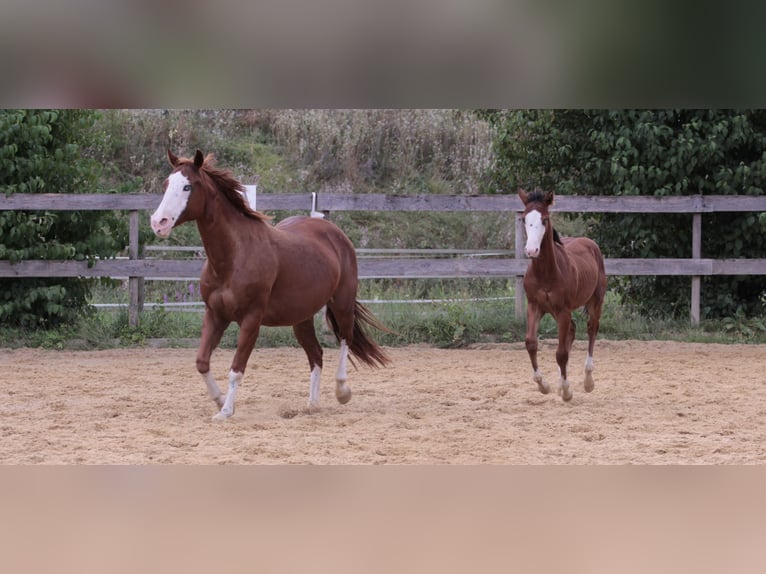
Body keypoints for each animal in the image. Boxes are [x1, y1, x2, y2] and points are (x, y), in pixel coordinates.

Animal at [150, 149, 390, 421]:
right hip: (301, 318)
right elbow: (202, 362)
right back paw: (312, 403)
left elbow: (236, 368)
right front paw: (220, 401)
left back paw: (342, 392)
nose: (159, 222)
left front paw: (226, 411)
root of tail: (334, 232)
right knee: (316, 354)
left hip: (342, 303)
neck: (233, 257)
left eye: (188, 186)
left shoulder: (251, 319)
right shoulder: (215, 315)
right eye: (166, 184)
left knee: (345, 339)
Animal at [518, 189, 607, 402]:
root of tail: (589, 242)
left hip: (595, 301)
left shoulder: (563, 310)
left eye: (544, 219)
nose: (531, 250)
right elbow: (531, 343)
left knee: (592, 329)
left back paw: (587, 381)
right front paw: (544, 386)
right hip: (554, 311)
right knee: (572, 330)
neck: (546, 273)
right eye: (524, 218)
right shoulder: (534, 306)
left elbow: (561, 354)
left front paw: (567, 391)